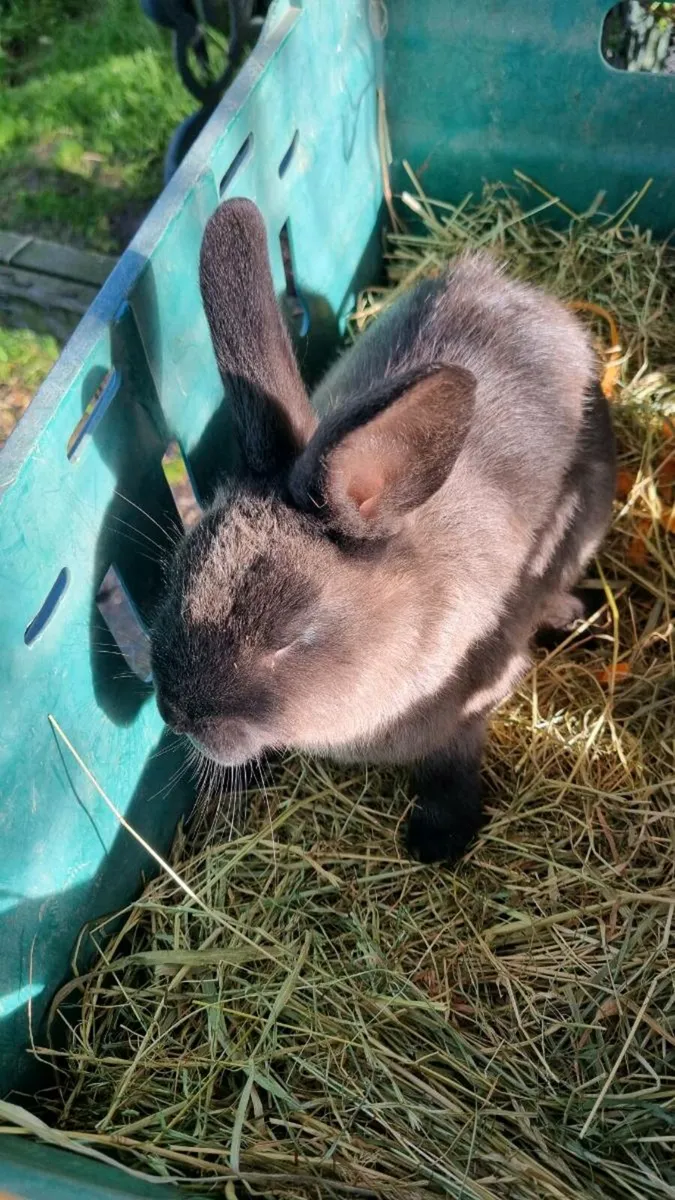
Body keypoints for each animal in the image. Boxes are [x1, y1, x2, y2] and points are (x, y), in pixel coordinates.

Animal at [150, 197, 616, 864]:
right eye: (175, 577)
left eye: (291, 636)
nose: (175, 714)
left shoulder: (470, 710)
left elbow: (452, 763)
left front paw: (438, 839)